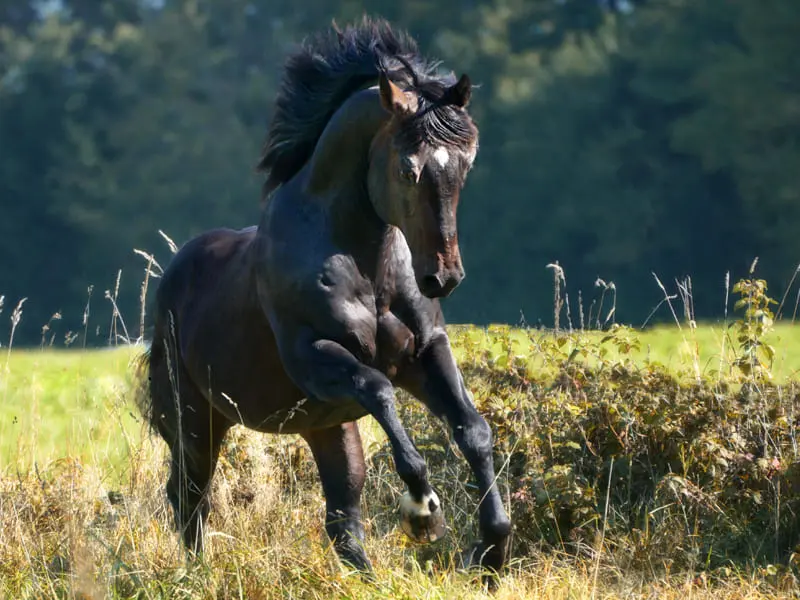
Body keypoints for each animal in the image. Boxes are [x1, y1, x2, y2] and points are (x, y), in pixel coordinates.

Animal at [135, 16, 512, 586]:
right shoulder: (315, 357)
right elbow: (380, 390)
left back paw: (371, 581)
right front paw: (424, 513)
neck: (368, 268)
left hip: (327, 427)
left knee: (342, 518)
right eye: (408, 169)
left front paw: (492, 550)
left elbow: (473, 430)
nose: (442, 277)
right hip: (196, 419)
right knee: (190, 496)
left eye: (466, 164)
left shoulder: (426, 353)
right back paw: (198, 576)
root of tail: (172, 278)